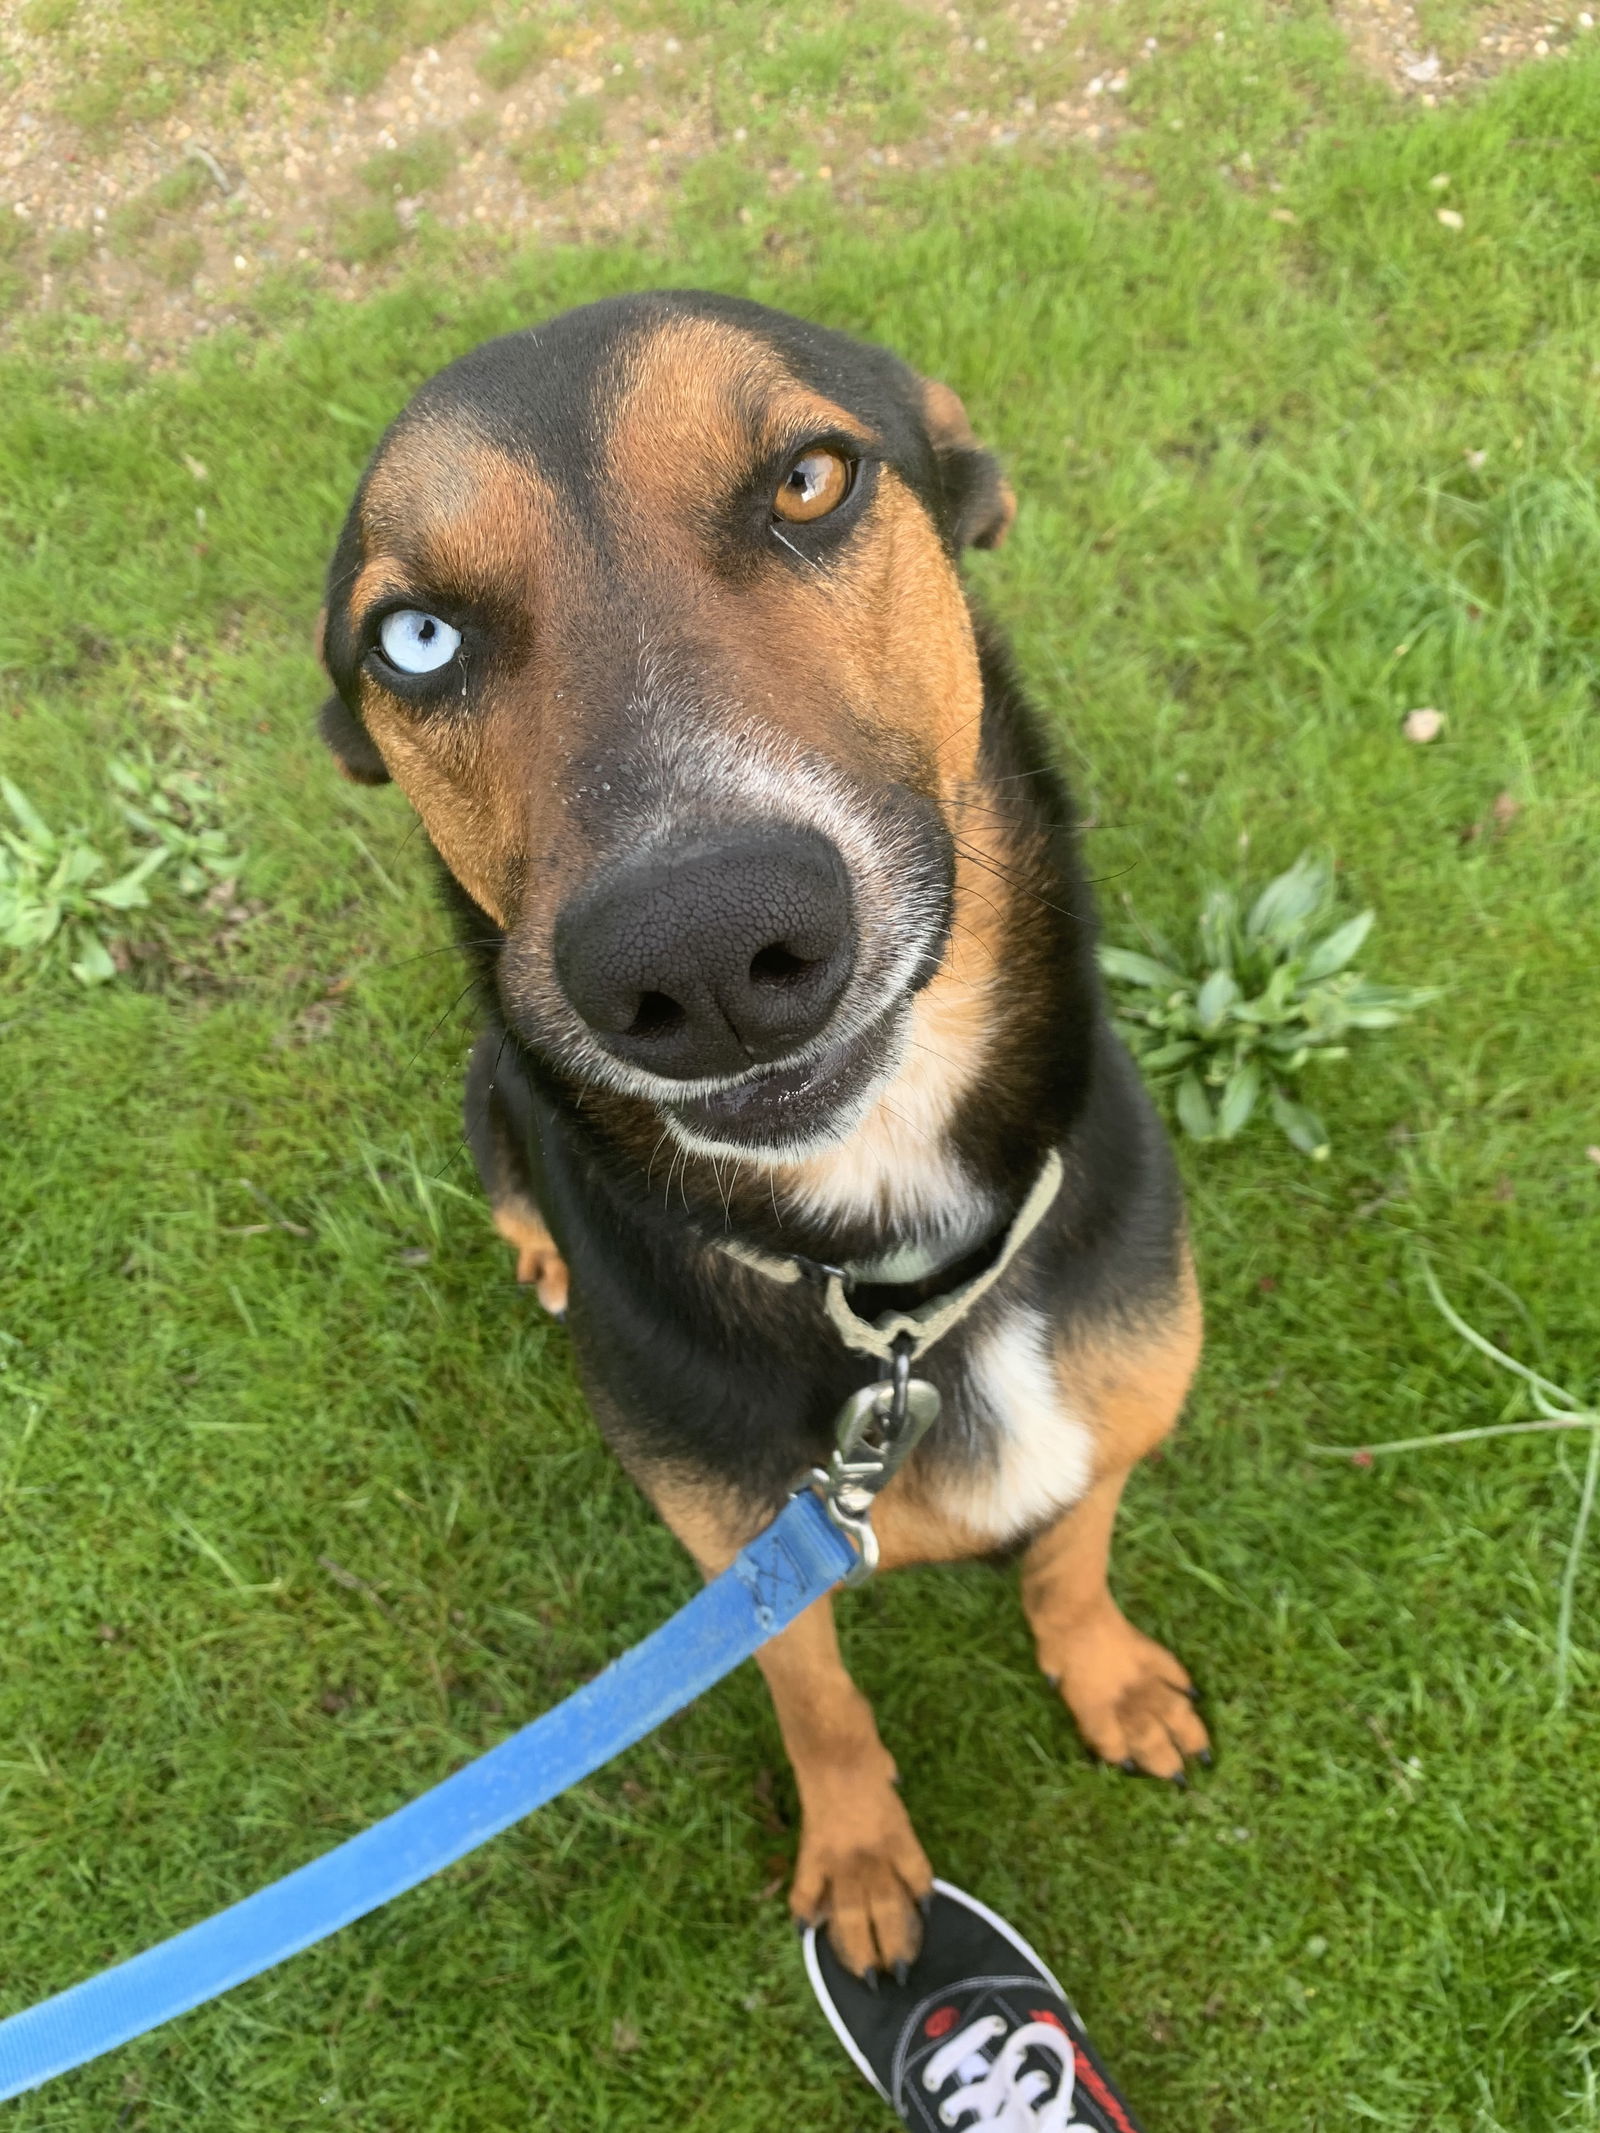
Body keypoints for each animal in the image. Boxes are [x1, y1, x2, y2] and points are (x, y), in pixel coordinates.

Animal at [313, 287, 1211, 1979]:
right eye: (417, 637)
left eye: (809, 480)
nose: (707, 957)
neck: (896, 1290)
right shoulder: (746, 1557)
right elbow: (824, 1701)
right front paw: (862, 1861)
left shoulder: (1111, 1413)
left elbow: (1071, 1553)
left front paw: (1110, 1674)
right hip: (485, 1091)